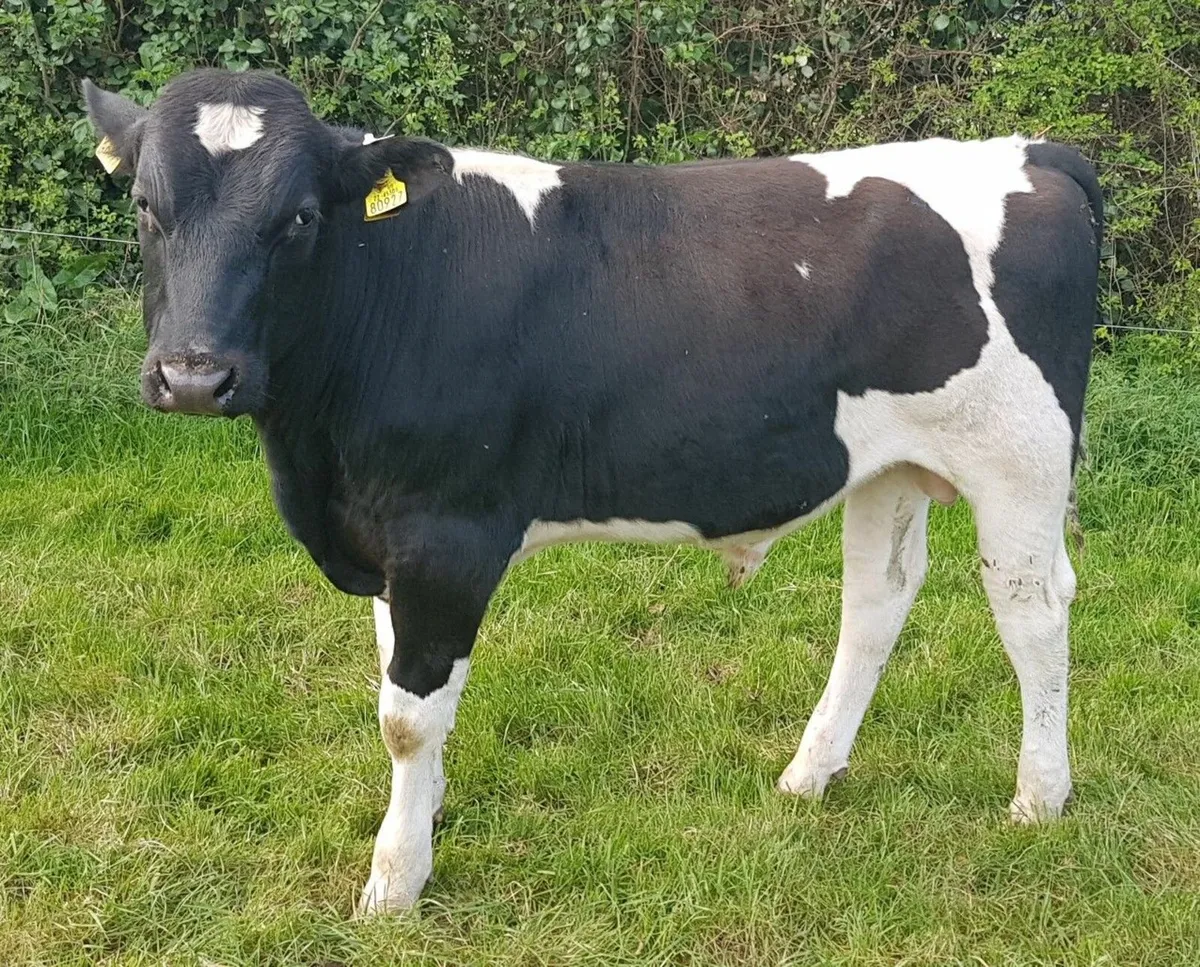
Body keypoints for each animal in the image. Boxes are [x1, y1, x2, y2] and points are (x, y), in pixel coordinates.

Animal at [83, 67, 1102, 915]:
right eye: (144, 204)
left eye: (297, 217)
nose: (192, 374)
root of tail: (1031, 151)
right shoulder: (385, 531)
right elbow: (398, 681)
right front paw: (429, 814)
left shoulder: (448, 536)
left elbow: (407, 717)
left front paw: (395, 879)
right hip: (886, 466)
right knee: (876, 604)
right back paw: (809, 774)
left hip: (1020, 459)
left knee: (1034, 610)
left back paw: (1039, 796)